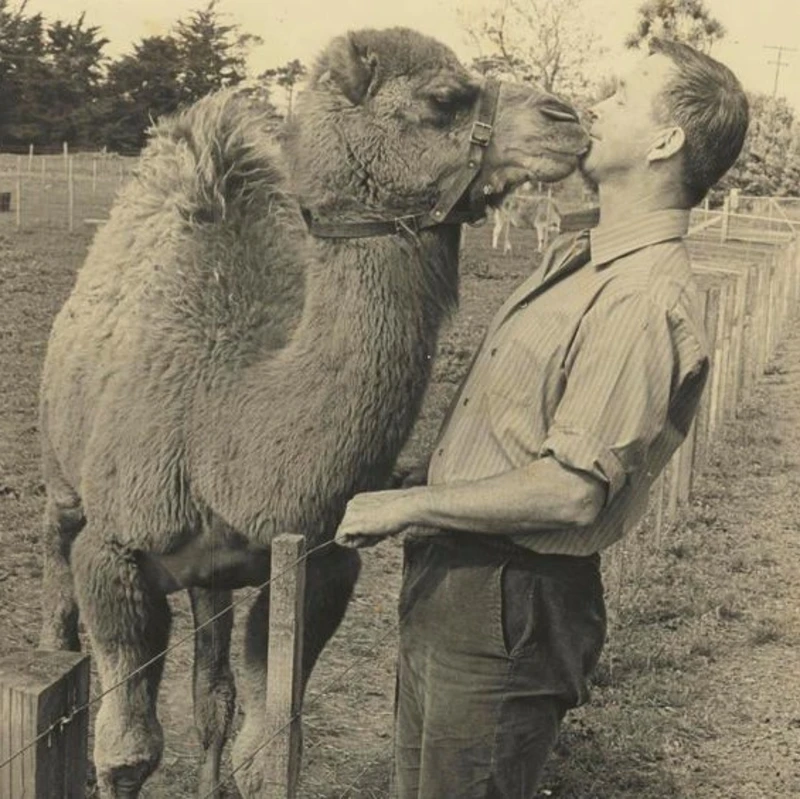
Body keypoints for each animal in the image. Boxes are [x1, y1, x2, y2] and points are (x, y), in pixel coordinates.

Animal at [37, 28, 588, 796]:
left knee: (211, 693)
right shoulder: (112, 551)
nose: (568, 120)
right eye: (445, 97)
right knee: (60, 570)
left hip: (212, 576)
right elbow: (126, 753)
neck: (219, 416)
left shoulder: (314, 564)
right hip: (62, 474)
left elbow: (264, 748)